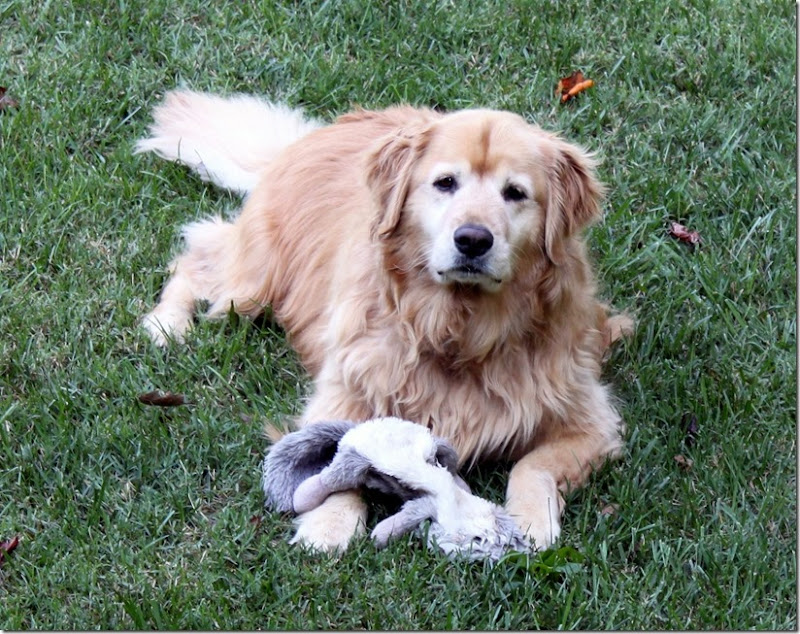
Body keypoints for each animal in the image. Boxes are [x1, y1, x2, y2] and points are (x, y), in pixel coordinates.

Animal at [136, 91, 632, 552]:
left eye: (516, 193)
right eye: (445, 183)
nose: (473, 240)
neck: (459, 332)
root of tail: (308, 137)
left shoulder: (591, 420)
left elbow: (533, 464)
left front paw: (529, 521)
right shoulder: (343, 393)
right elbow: (341, 456)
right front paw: (329, 526)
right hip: (251, 284)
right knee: (196, 254)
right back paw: (167, 325)